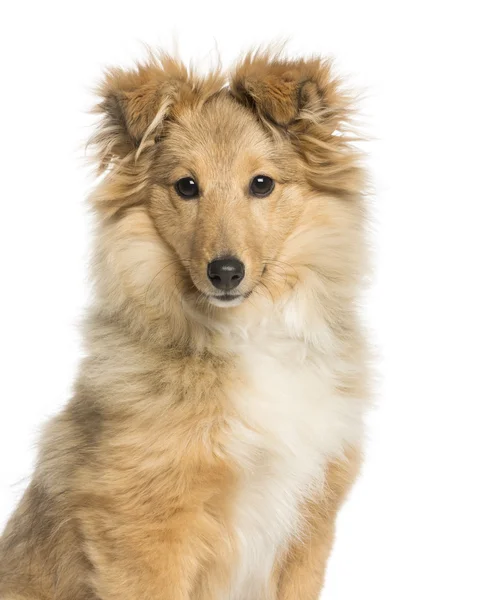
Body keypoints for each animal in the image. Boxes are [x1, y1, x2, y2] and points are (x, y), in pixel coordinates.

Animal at [0, 48, 368, 600]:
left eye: (262, 184)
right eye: (186, 186)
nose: (225, 272)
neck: (247, 332)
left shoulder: (310, 527)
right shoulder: (143, 531)